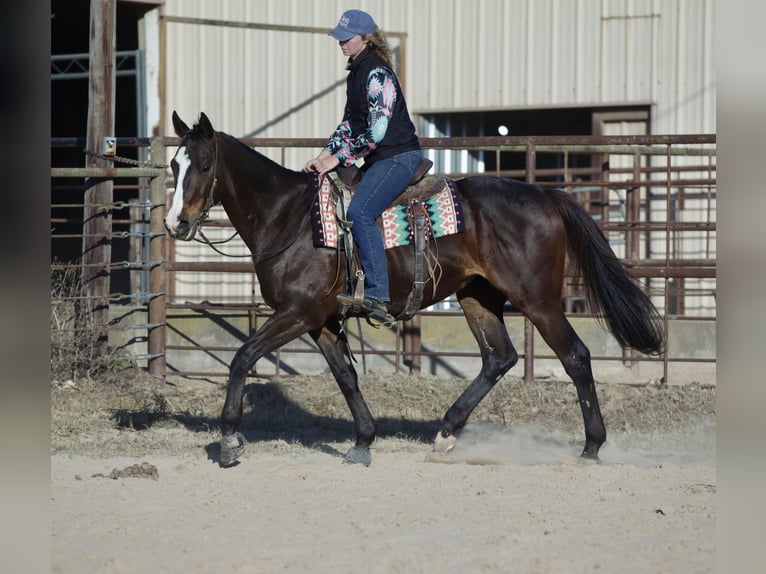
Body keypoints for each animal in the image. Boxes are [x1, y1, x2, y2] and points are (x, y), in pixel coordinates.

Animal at [165, 111, 664, 467]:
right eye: (173, 164)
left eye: (204, 164)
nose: (175, 224)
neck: (289, 217)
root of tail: (548, 195)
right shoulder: (321, 321)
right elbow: (345, 376)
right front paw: (363, 441)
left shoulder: (298, 313)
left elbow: (242, 356)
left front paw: (230, 438)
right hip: (477, 297)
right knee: (499, 359)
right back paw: (446, 433)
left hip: (538, 301)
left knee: (575, 357)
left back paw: (591, 446)